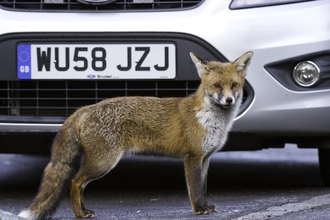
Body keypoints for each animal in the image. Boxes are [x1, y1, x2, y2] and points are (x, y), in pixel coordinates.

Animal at [18, 51, 254, 218]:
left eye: (234, 85)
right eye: (217, 86)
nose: (228, 100)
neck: (211, 120)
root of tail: (83, 109)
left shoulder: (205, 158)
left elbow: (203, 187)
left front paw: (205, 206)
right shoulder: (192, 157)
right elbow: (195, 188)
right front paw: (198, 210)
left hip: (99, 162)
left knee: (79, 184)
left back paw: (84, 211)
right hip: (103, 162)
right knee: (75, 182)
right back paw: (79, 214)